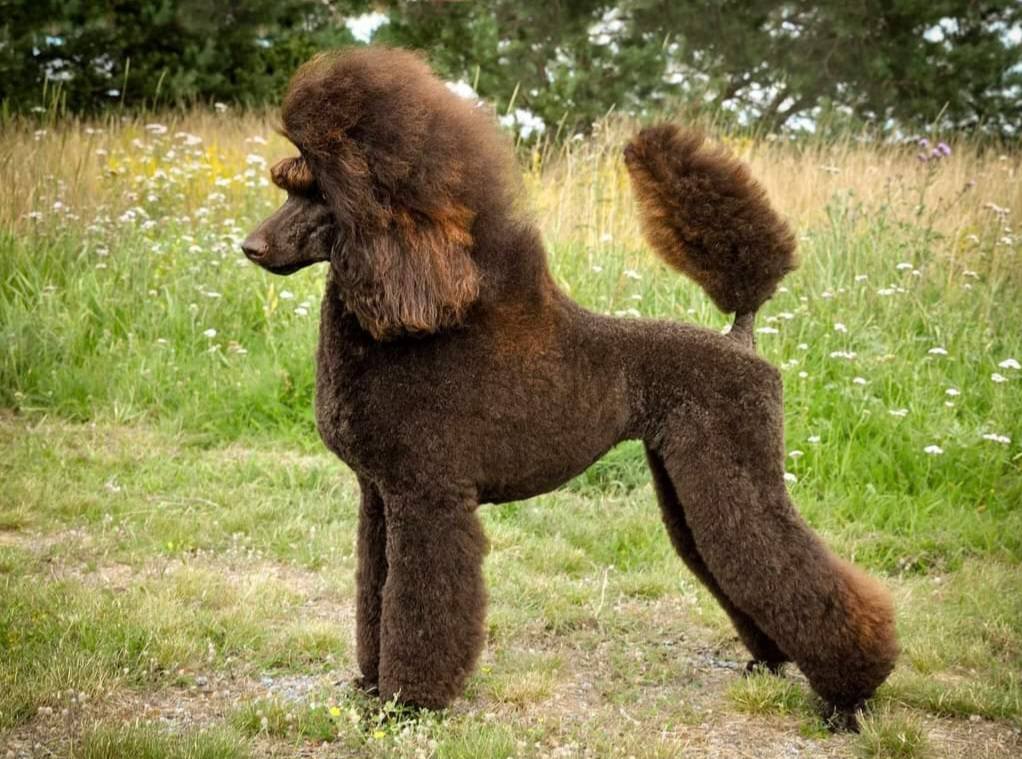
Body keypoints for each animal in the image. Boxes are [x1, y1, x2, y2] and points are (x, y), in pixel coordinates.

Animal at [241, 46, 897, 727]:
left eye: (320, 194)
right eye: (291, 187)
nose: (250, 247)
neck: (410, 318)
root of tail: (742, 339)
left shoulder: (428, 498)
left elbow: (418, 607)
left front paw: (409, 704)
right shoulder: (380, 496)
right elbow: (376, 594)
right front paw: (371, 686)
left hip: (731, 466)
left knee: (785, 565)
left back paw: (850, 698)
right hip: (685, 475)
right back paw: (770, 663)